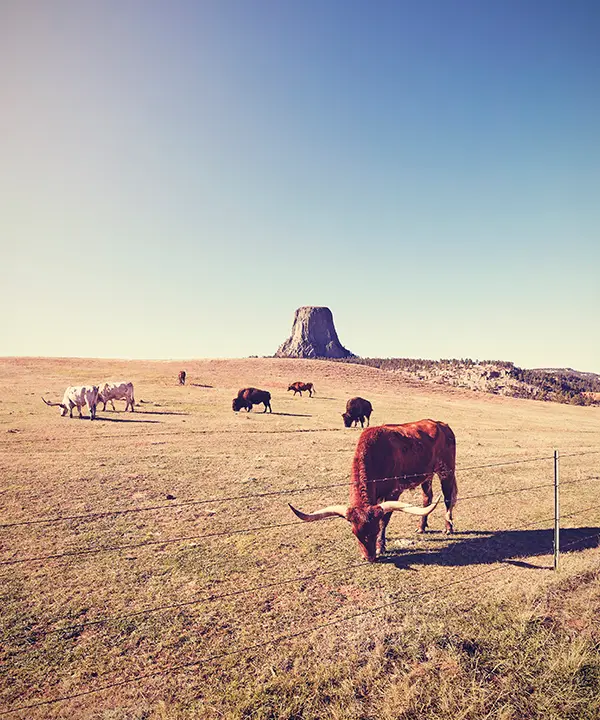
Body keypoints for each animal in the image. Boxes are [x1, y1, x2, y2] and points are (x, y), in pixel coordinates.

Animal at [288, 420, 458, 564]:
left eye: (375, 531)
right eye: (354, 533)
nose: (369, 558)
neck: (377, 454)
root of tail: (443, 425)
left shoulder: (393, 492)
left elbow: (384, 520)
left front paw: (380, 547)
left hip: (446, 471)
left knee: (447, 498)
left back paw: (448, 528)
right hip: (426, 476)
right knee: (427, 498)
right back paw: (421, 527)